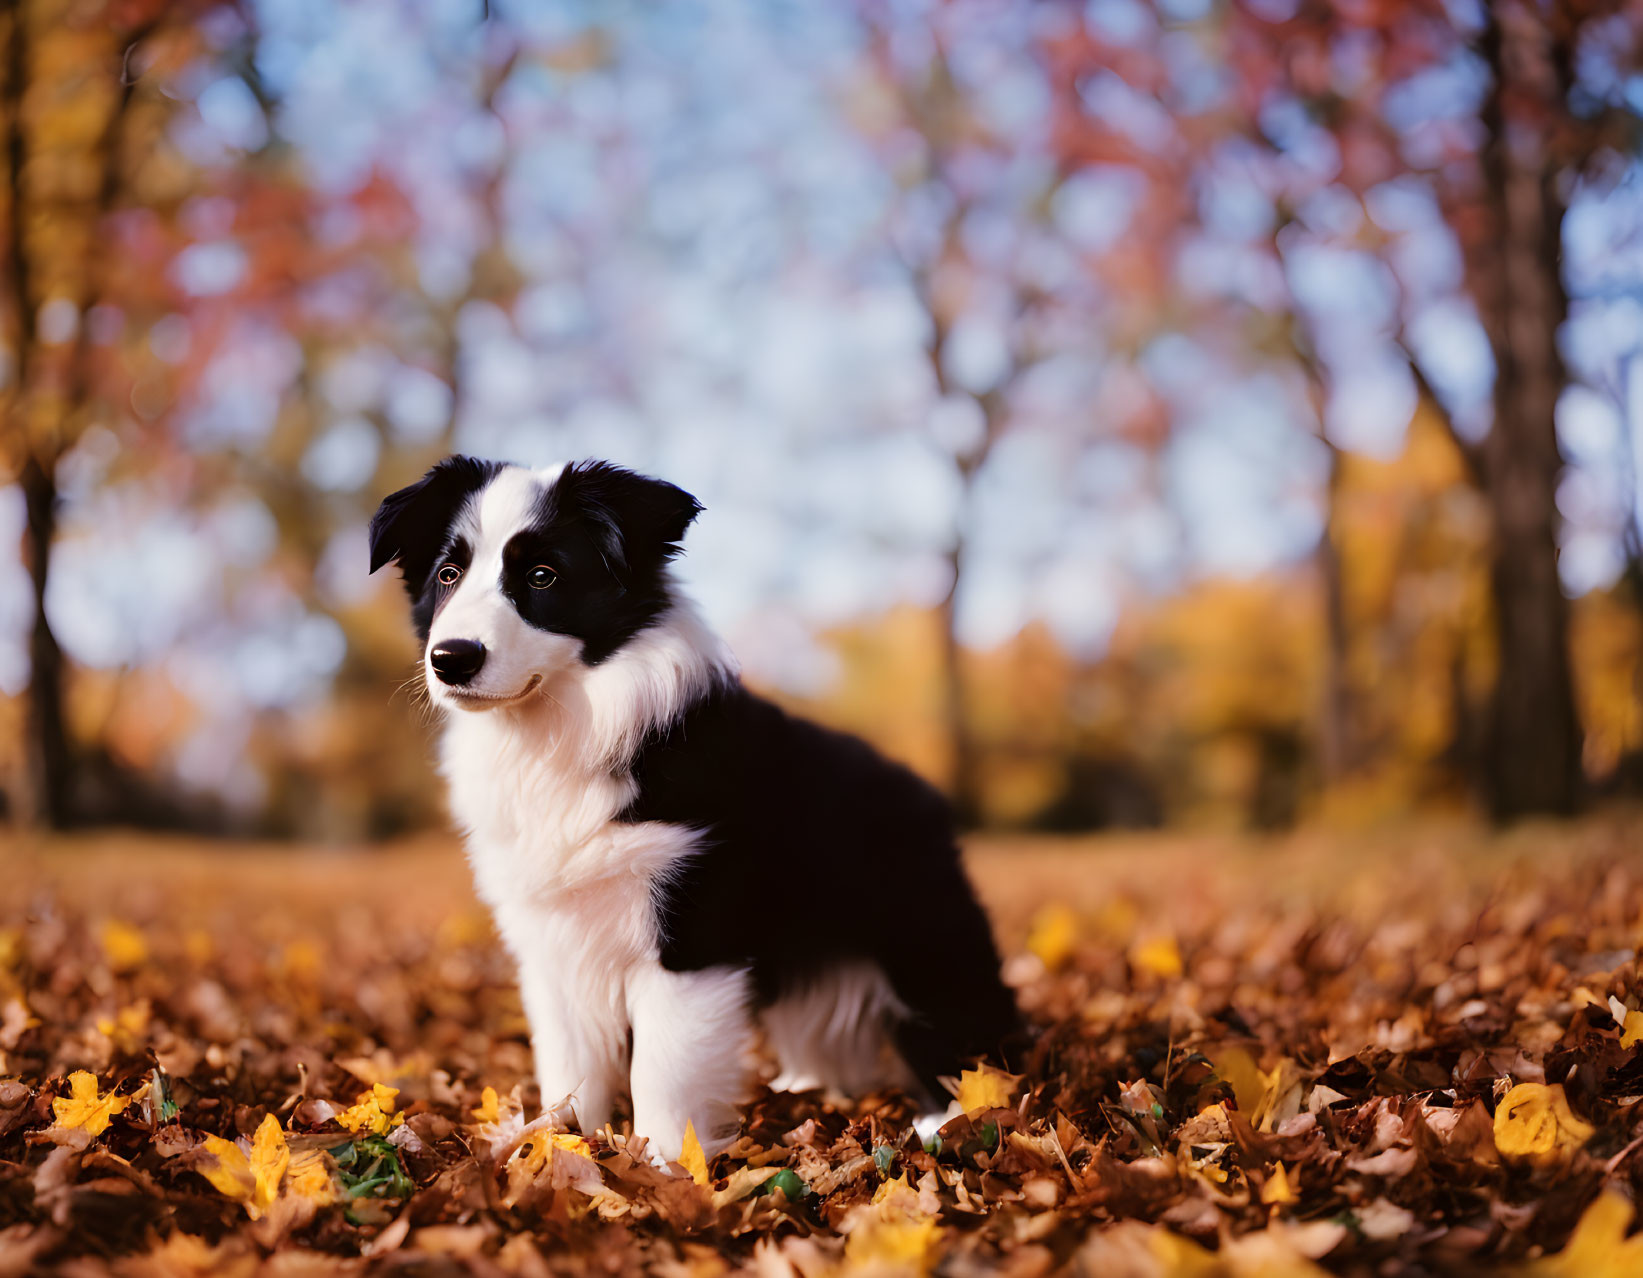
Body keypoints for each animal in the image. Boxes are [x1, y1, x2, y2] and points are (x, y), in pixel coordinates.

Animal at [369, 456, 1012, 1156]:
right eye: (447, 575)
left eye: (542, 576)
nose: (450, 659)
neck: (559, 730)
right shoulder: (552, 940)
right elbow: (568, 1067)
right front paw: (559, 1151)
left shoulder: (690, 936)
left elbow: (662, 1069)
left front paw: (665, 1165)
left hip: (923, 937)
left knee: (971, 1031)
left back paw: (950, 1120)